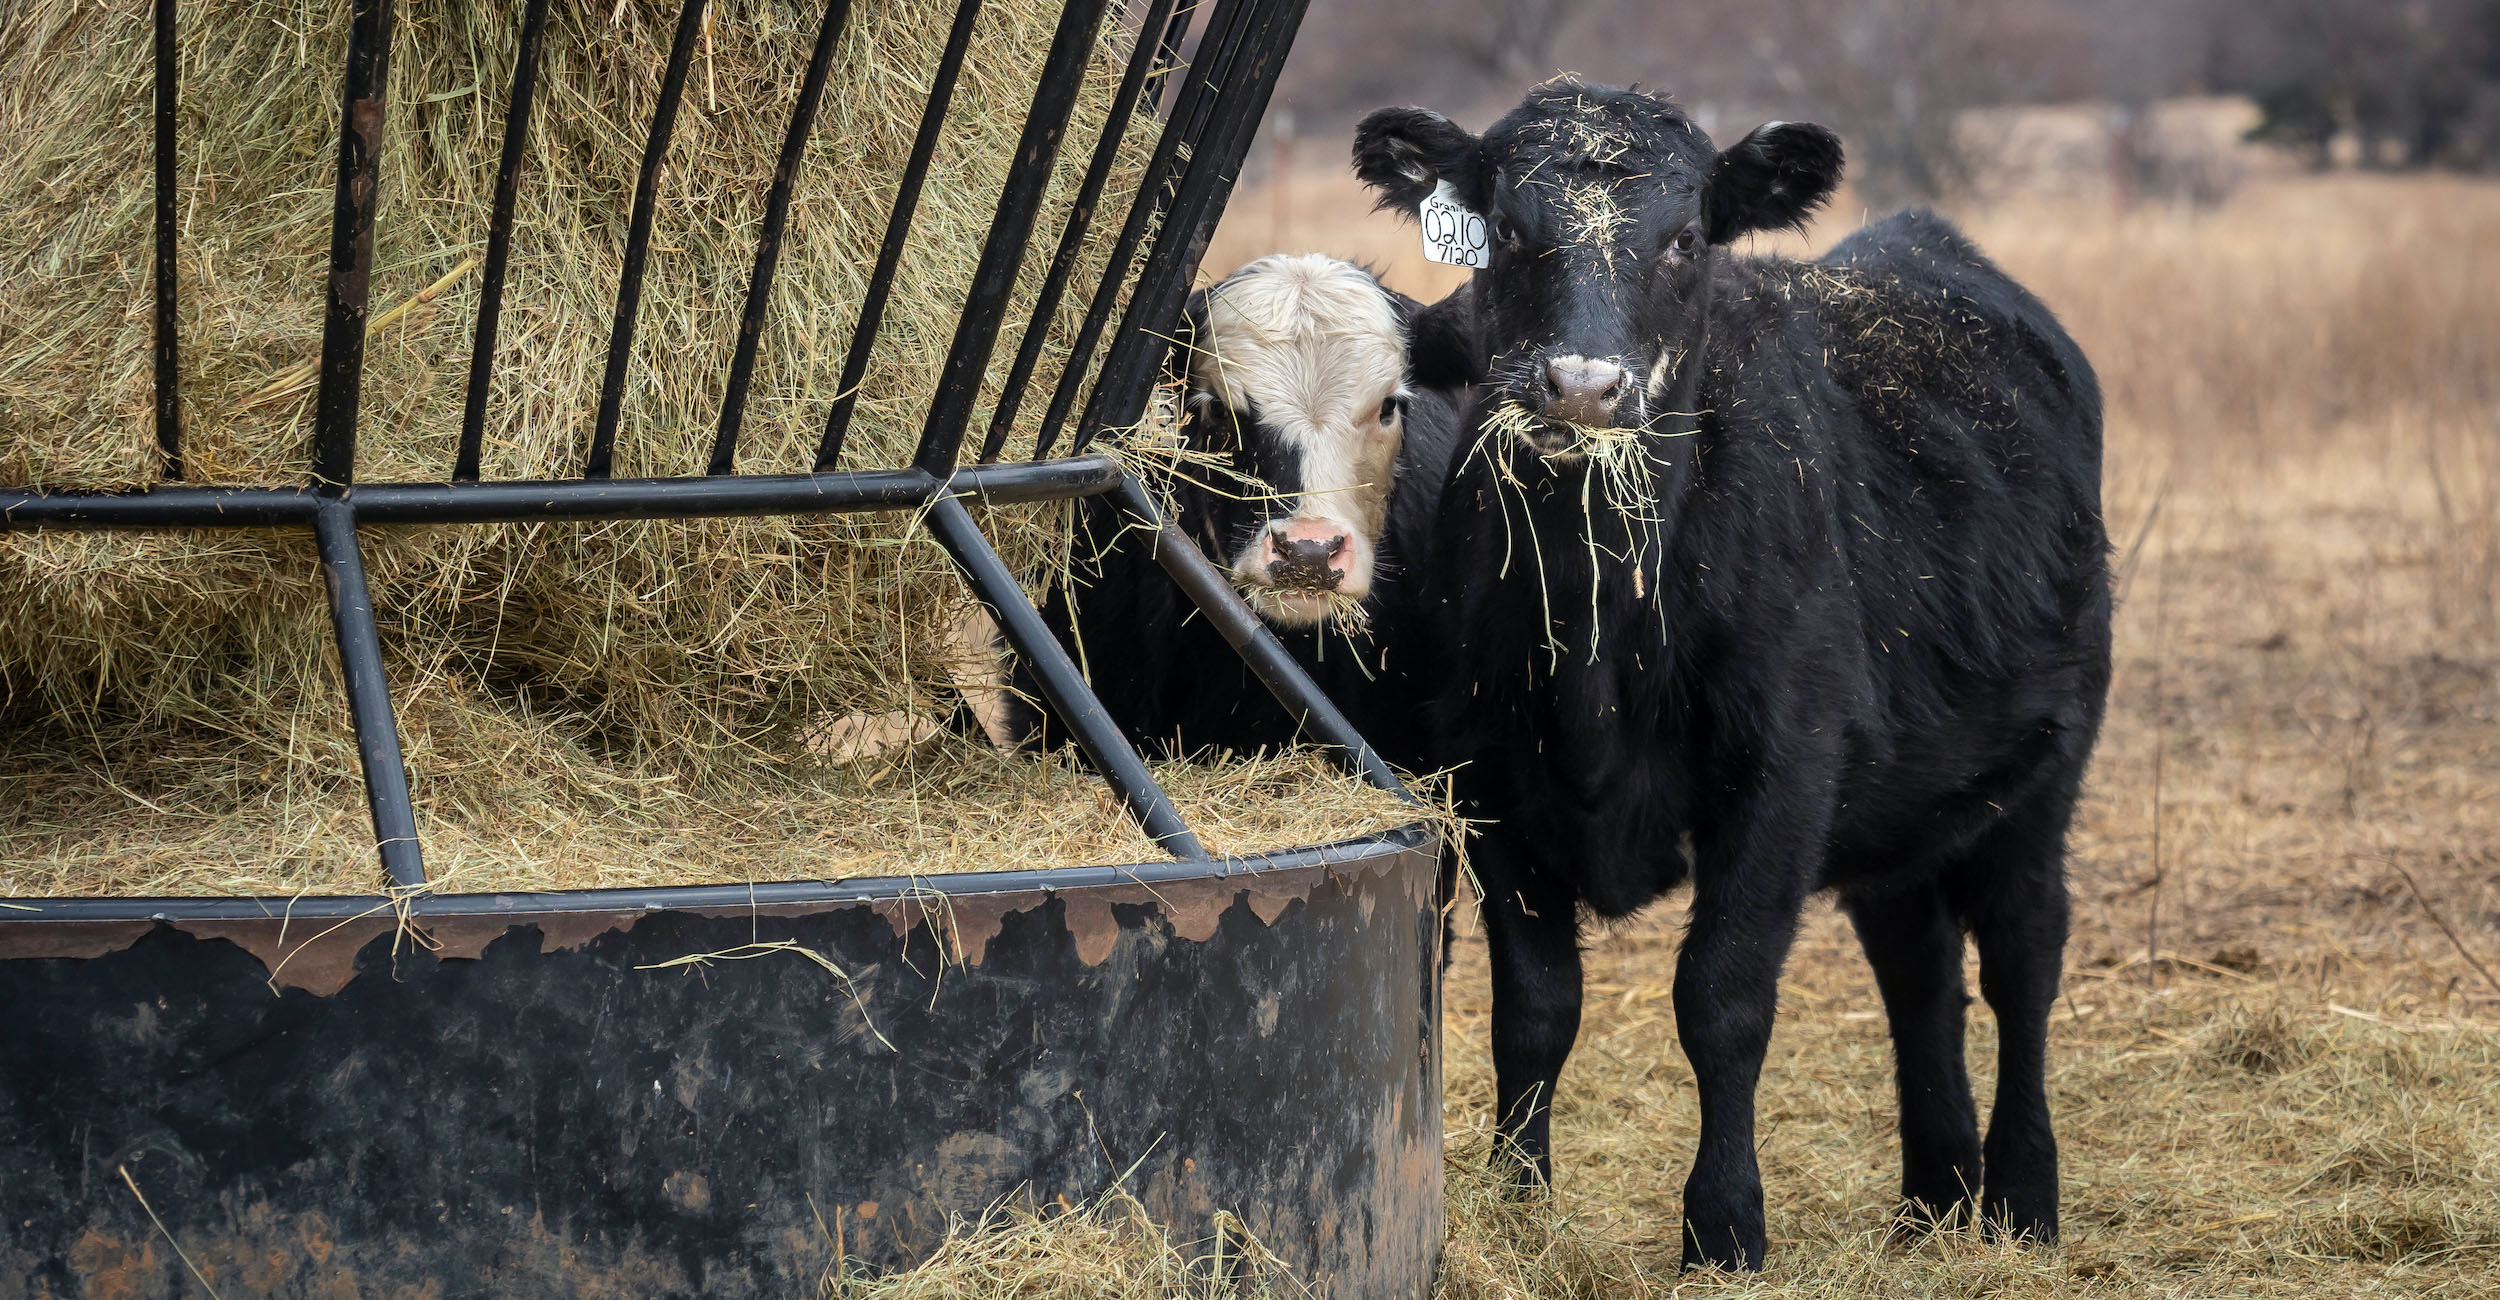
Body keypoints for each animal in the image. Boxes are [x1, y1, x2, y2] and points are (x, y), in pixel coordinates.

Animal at [1370, 81, 2110, 1270]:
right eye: (1510, 233)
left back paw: (2022, 1198)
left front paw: (1723, 1225)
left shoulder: (1783, 774)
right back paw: (1934, 1195)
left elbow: (1722, 998)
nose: (1582, 385)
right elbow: (1535, 1007)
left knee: (2022, 956)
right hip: (1900, 805)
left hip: (2045, 769)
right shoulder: (1489, 782)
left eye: (1684, 238)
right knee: (1918, 970)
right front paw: (1519, 1202)